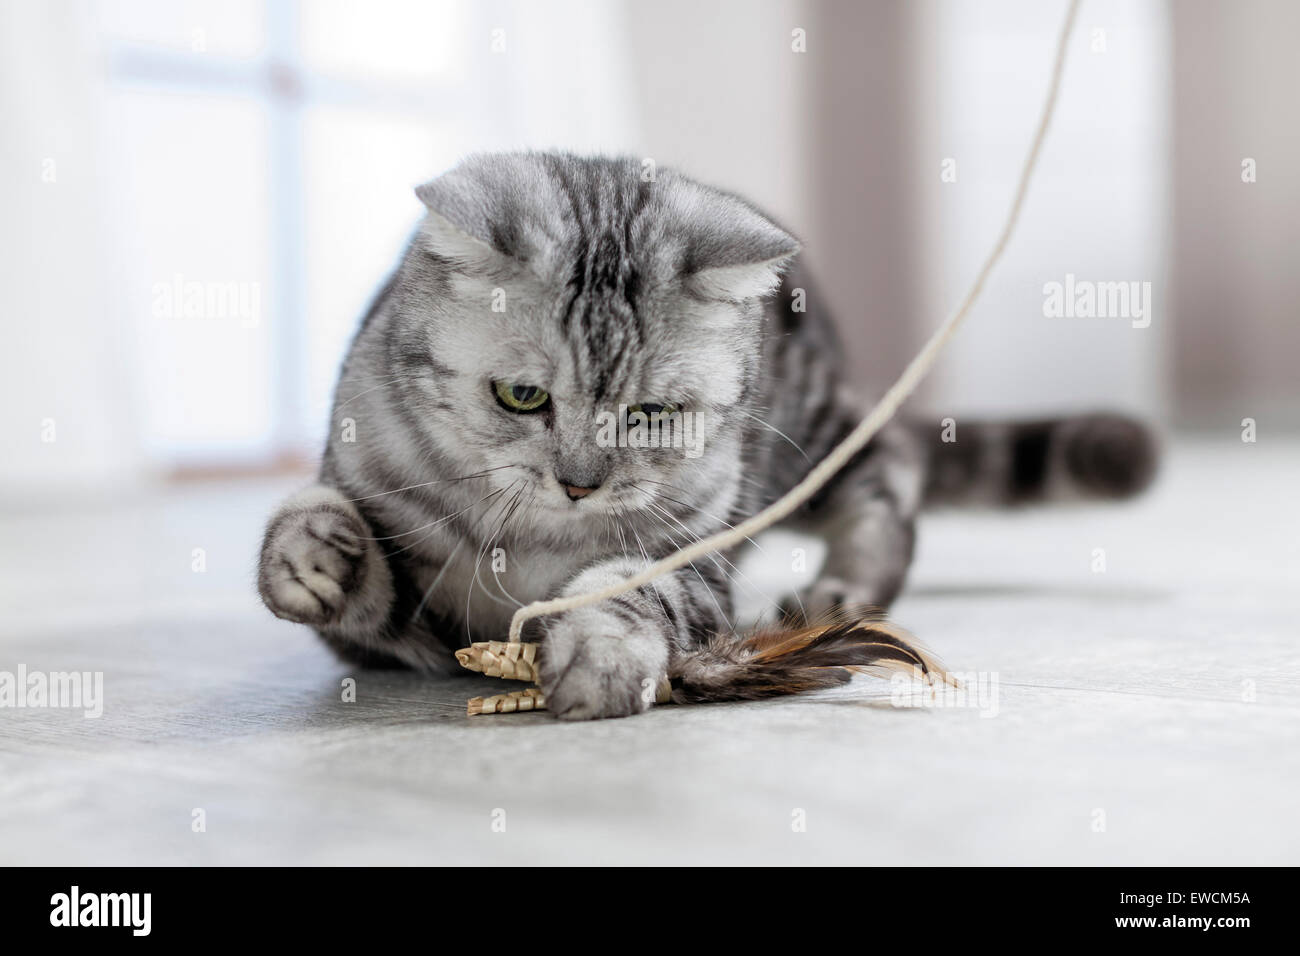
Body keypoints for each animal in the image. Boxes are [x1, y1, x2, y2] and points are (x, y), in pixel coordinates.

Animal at [256, 151, 1159, 717]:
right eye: (521, 396)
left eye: (654, 413)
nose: (579, 482)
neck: (540, 541)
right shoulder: (415, 633)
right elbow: (353, 572)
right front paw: (313, 551)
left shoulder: (694, 563)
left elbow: (630, 593)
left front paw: (599, 655)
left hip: (811, 439)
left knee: (891, 468)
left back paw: (845, 587)